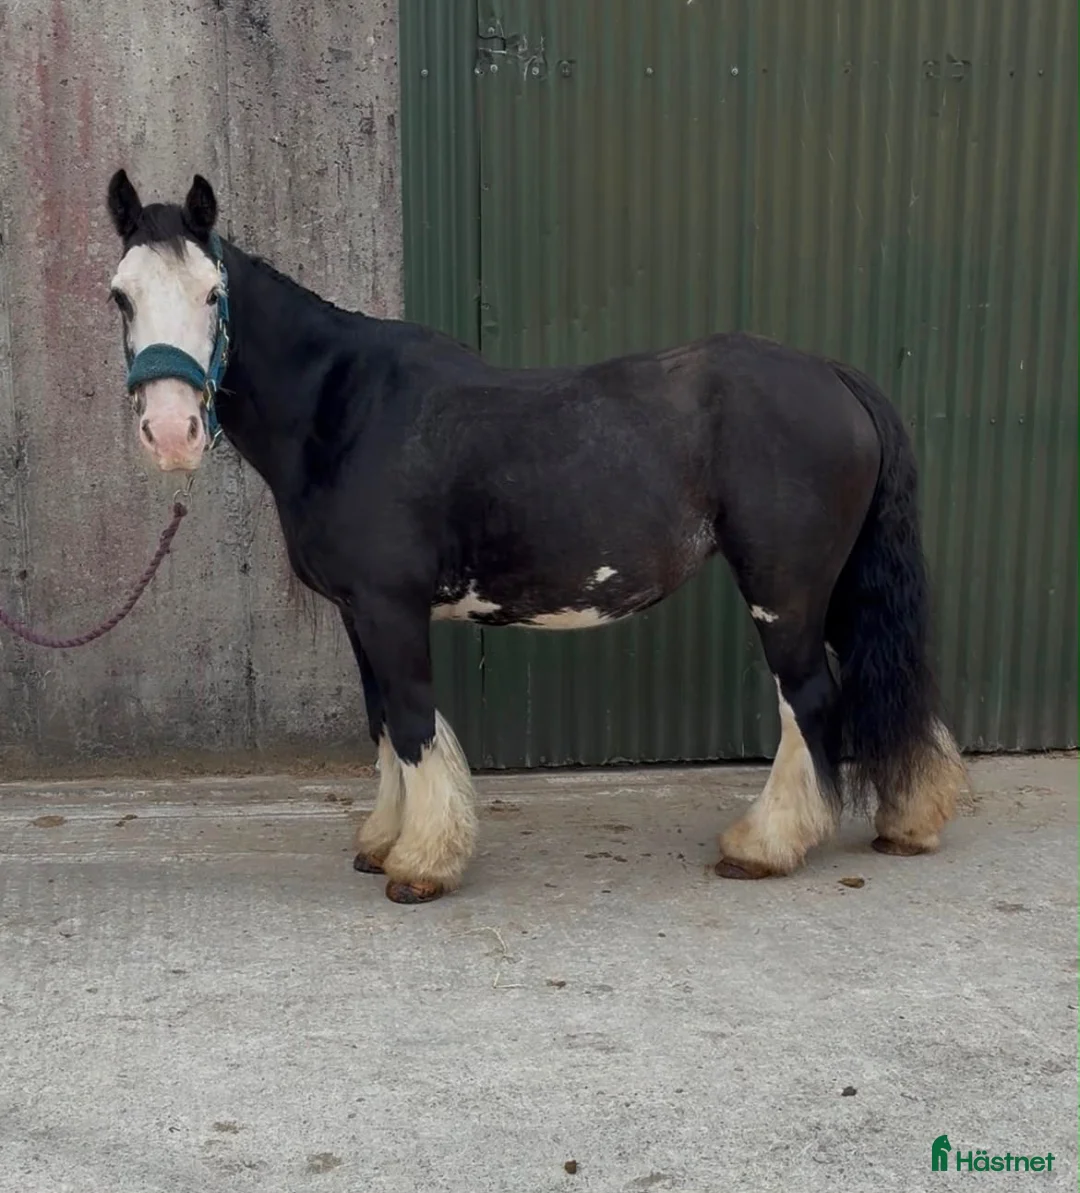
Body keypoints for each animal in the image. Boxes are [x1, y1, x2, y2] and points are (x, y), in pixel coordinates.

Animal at [104, 170, 965, 904]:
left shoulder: (389, 609)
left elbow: (413, 723)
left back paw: (764, 845)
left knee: (809, 699)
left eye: (213, 293)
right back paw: (910, 820)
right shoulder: (358, 613)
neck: (345, 409)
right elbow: (383, 722)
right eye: (121, 297)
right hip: (838, 586)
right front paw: (383, 840)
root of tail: (833, 375)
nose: (172, 432)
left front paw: (422, 863)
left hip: (783, 593)